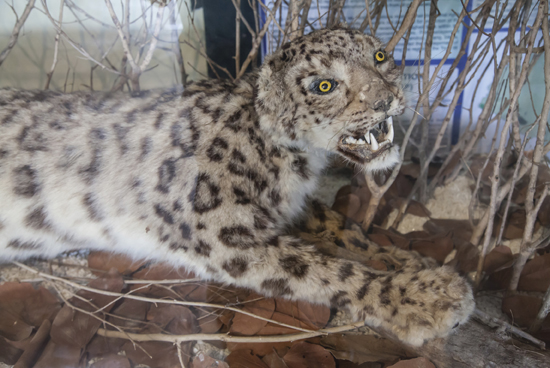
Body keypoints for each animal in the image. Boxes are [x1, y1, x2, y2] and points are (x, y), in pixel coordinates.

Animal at [0, 28, 474, 344]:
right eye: (323, 85)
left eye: (379, 55)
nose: (385, 99)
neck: (295, 166)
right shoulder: (220, 228)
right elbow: (322, 269)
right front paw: (427, 298)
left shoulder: (291, 205)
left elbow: (345, 227)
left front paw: (405, 259)